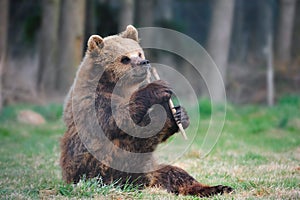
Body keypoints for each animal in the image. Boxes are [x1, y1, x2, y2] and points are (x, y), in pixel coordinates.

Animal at [59, 24, 233, 197]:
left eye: (139, 53)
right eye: (125, 58)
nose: (144, 62)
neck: (113, 85)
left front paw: (179, 115)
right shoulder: (93, 102)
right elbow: (118, 119)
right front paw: (157, 89)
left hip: (154, 168)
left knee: (177, 173)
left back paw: (219, 188)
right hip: (93, 164)